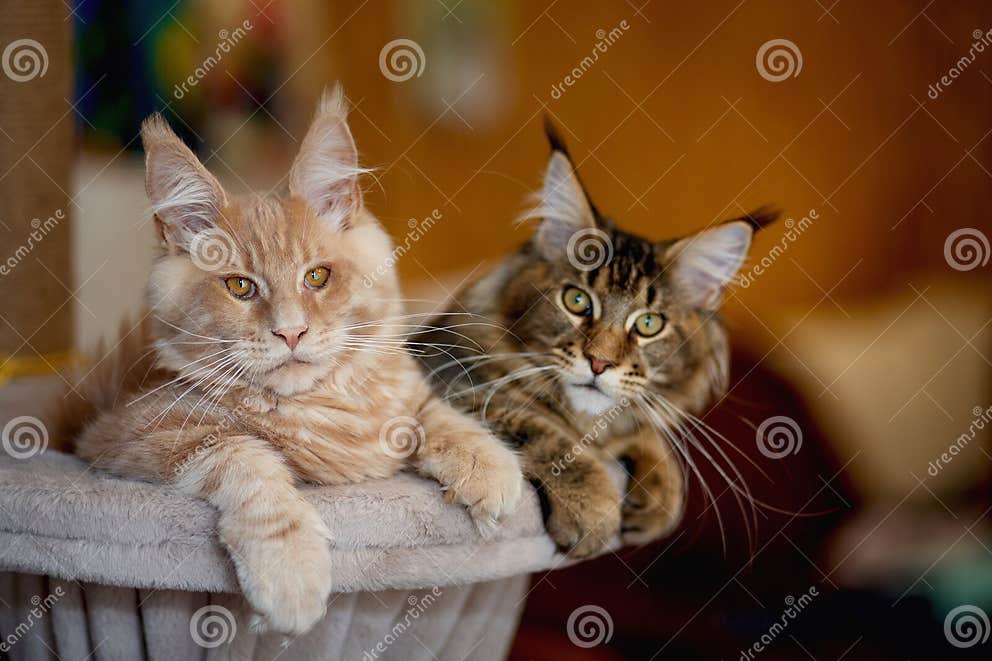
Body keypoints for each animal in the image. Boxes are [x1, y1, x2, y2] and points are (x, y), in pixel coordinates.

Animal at [420, 122, 776, 556]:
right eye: (576, 301)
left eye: (648, 324)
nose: (599, 362)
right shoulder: (451, 378)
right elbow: (542, 428)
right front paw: (594, 509)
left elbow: (644, 429)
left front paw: (661, 496)